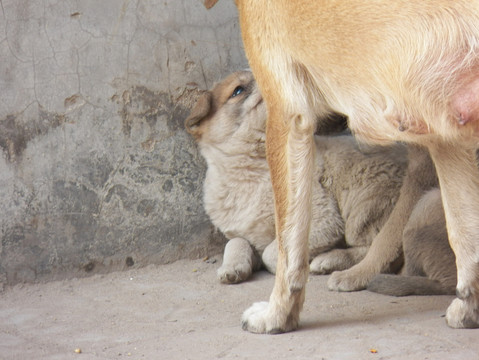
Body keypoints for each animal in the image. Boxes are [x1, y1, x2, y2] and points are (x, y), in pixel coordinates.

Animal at [186, 71, 406, 284]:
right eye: (237, 90)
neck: (250, 173)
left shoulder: (321, 219)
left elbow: (271, 254)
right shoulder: (245, 233)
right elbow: (235, 242)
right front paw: (232, 268)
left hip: (364, 205)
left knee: (382, 252)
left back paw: (329, 261)